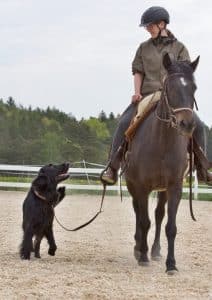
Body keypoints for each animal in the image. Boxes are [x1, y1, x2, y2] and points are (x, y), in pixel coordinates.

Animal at [124, 52, 199, 274]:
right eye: (170, 88)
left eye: (193, 88)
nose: (187, 124)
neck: (162, 143)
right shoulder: (141, 187)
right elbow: (144, 221)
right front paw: (142, 256)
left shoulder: (174, 187)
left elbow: (170, 226)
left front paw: (171, 264)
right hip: (133, 186)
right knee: (139, 213)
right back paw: (139, 248)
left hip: (162, 189)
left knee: (158, 215)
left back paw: (155, 251)